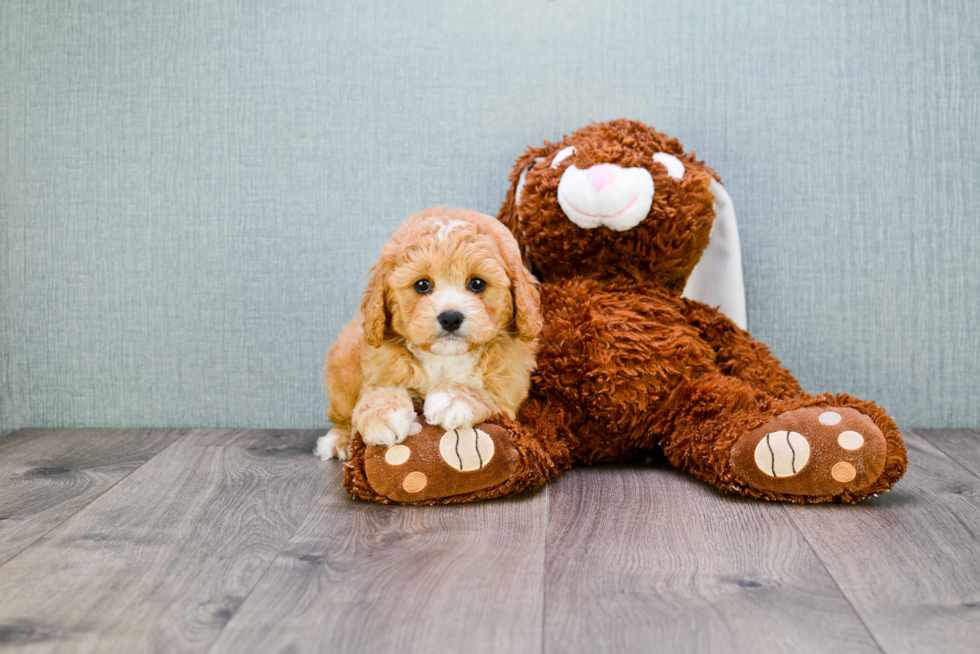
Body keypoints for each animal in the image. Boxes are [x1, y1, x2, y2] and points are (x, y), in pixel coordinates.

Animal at [316, 209, 540, 462]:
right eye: (422, 285)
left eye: (477, 283)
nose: (450, 317)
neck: (446, 357)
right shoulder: (377, 368)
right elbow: (377, 392)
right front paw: (383, 416)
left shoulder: (508, 388)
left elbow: (487, 393)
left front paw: (452, 398)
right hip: (342, 368)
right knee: (343, 413)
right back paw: (339, 439)